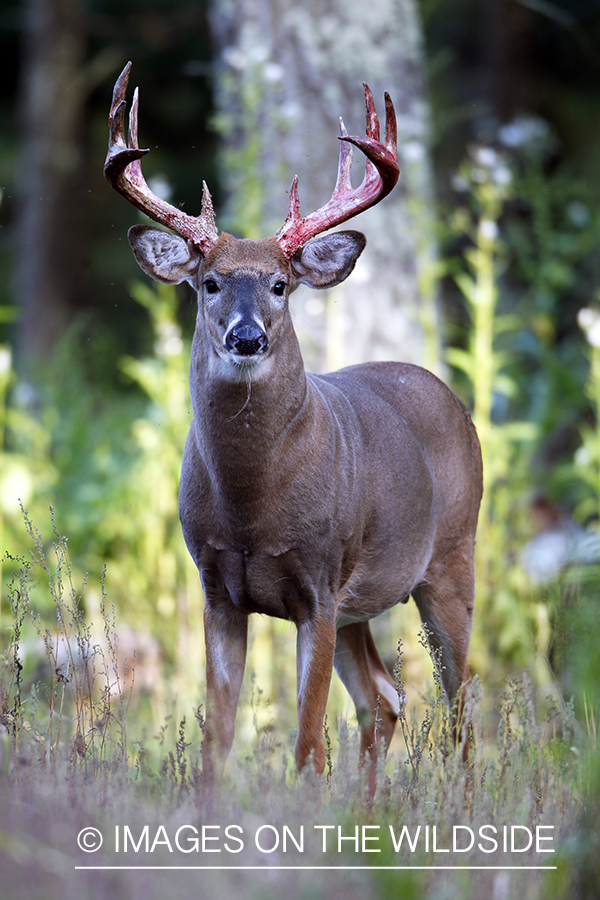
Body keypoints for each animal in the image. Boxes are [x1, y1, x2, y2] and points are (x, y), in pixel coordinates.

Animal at [105, 61, 482, 796]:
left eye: (280, 284)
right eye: (210, 283)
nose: (246, 337)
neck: (253, 504)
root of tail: (449, 395)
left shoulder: (320, 581)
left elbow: (307, 747)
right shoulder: (217, 586)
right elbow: (216, 744)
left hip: (452, 558)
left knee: (463, 704)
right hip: (368, 603)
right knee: (385, 699)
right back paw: (367, 808)